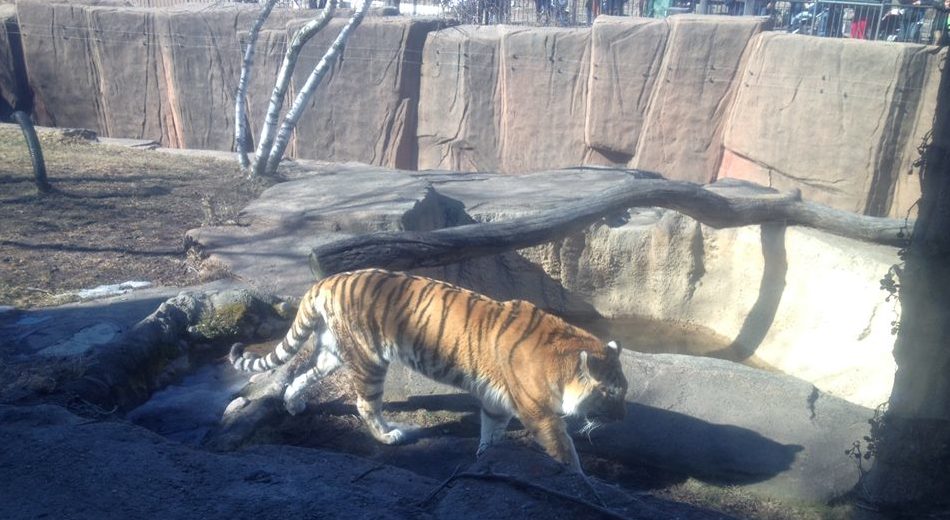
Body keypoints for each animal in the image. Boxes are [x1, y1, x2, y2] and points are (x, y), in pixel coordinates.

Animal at [229, 268, 628, 473]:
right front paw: (580, 483)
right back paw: (389, 436)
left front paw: (484, 460)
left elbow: (491, 433)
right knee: (364, 404)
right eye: (612, 394)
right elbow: (565, 451)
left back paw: (293, 404)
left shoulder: (496, 402)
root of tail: (327, 280)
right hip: (369, 357)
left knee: (303, 374)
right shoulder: (539, 414)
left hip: (334, 351)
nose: (621, 417)